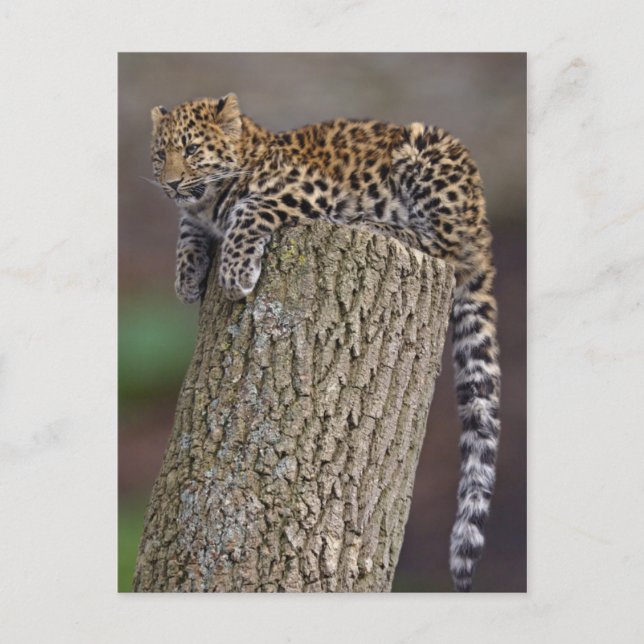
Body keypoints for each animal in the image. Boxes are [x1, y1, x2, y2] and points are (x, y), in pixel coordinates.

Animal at [149, 93, 501, 592]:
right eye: (161, 156)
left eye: (193, 150)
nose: (172, 182)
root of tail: (482, 221)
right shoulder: (195, 215)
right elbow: (186, 230)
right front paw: (187, 277)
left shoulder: (307, 190)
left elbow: (248, 210)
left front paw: (235, 274)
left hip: (425, 154)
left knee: (445, 246)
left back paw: (375, 224)